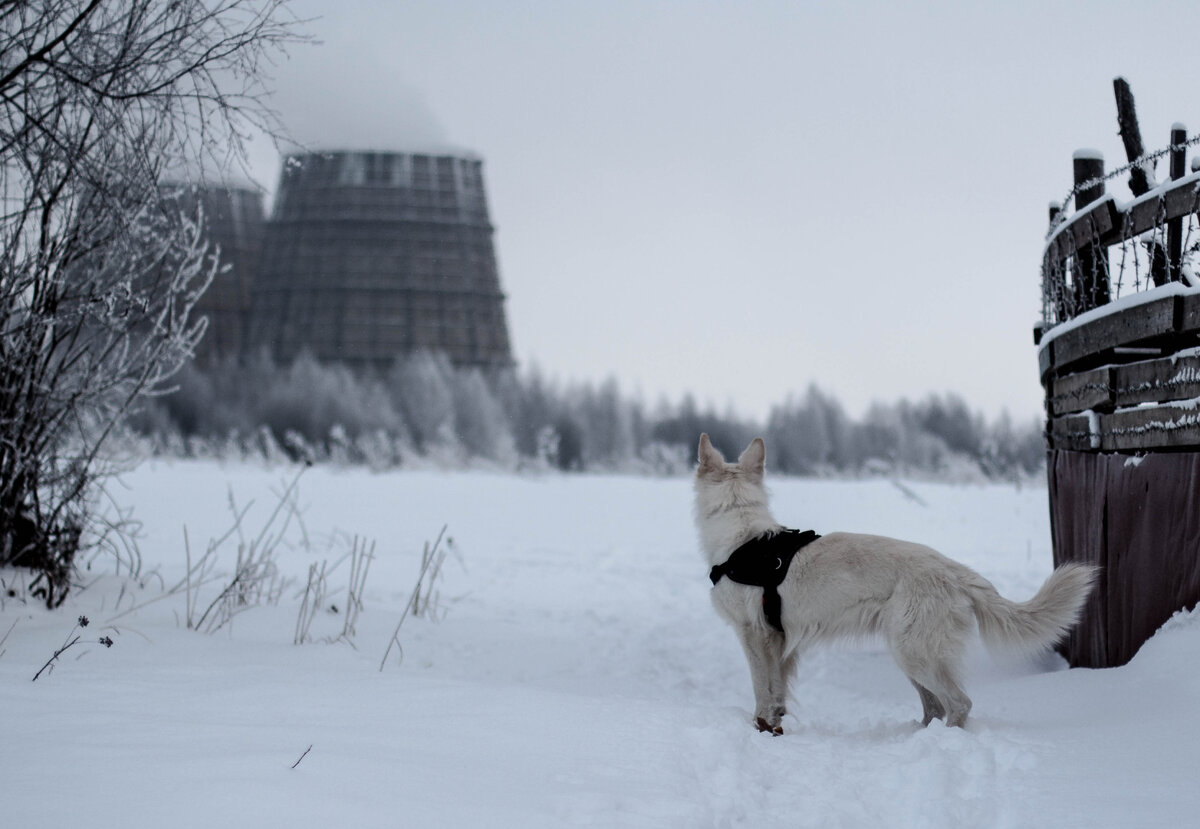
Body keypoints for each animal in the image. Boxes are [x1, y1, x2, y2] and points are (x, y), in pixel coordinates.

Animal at [696, 434, 1099, 734]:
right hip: (908, 653)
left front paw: (761, 727)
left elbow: (761, 690)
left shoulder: (754, 636)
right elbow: (778, 693)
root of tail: (957, 571)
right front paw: (777, 726)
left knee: (958, 704)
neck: (742, 537)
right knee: (935, 707)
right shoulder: (782, 643)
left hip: (911, 652)